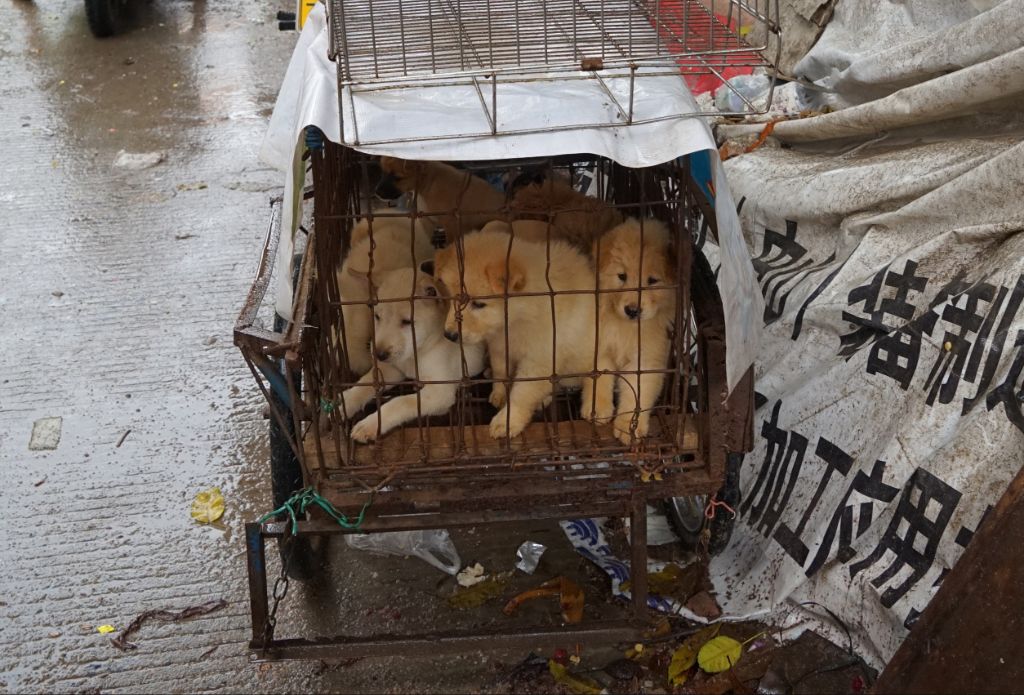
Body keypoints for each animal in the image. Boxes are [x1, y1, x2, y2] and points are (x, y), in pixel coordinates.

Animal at [333, 268, 481, 442]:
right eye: (377, 317)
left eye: (407, 322)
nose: (379, 355)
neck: (416, 354)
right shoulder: (392, 369)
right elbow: (367, 382)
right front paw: (345, 401)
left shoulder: (440, 391)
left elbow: (400, 402)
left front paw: (371, 424)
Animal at [374, 156, 505, 243]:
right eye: (382, 172)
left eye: (397, 178)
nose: (377, 193)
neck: (427, 184)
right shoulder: (426, 221)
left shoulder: (450, 225)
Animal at [434, 228, 598, 438]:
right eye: (453, 298)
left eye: (479, 304)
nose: (449, 335)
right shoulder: (499, 346)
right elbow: (501, 372)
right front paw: (499, 393)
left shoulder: (539, 361)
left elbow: (522, 394)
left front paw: (507, 421)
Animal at [581, 219, 675, 446]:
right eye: (622, 276)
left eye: (652, 280)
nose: (632, 310)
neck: (627, 328)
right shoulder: (599, 345)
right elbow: (599, 378)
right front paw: (598, 408)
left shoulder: (646, 361)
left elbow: (636, 396)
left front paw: (629, 428)